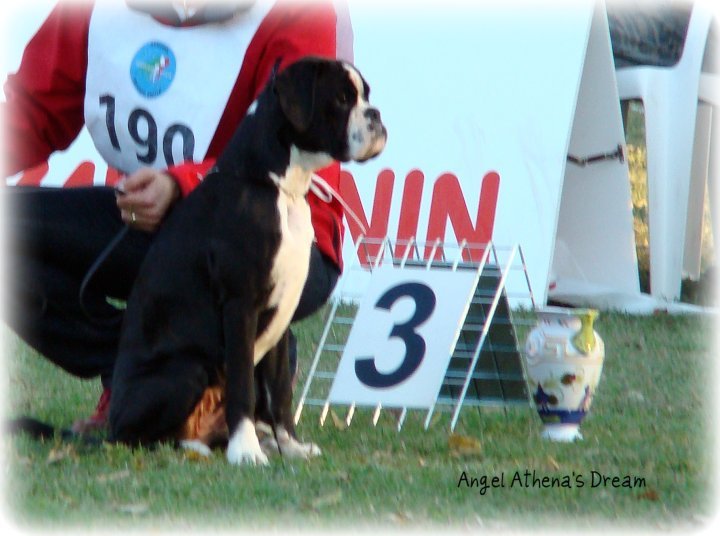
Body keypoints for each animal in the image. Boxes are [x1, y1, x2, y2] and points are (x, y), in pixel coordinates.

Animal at [107, 55, 386, 464]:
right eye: (340, 99)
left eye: (366, 95)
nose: (375, 115)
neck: (275, 186)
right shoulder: (240, 306)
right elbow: (243, 387)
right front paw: (245, 452)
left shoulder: (283, 312)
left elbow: (279, 392)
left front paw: (291, 446)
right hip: (186, 368)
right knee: (134, 437)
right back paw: (199, 447)